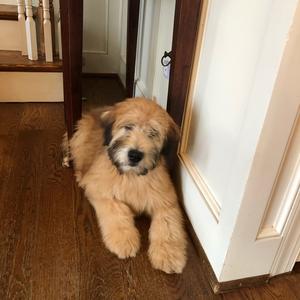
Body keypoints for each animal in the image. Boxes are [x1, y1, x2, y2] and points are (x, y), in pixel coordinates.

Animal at [62, 97, 186, 274]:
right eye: (128, 127)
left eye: (153, 133)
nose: (135, 155)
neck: (132, 176)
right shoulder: (100, 189)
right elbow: (117, 211)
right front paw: (123, 240)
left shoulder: (165, 200)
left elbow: (168, 226)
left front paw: (169, 255)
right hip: (79, 137)